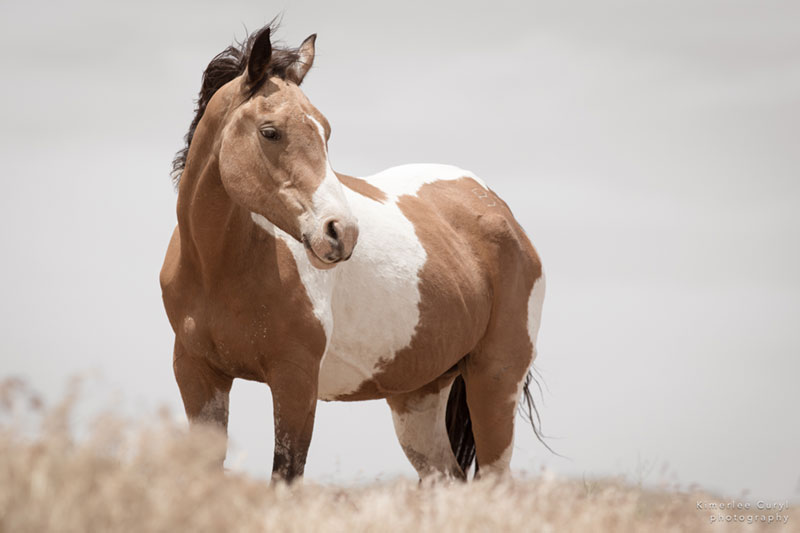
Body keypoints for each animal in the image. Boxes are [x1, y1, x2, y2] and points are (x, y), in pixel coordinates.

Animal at [160, 22, 545, 482]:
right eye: (270, 131)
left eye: (326, 132)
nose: (341, 231)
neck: (218, 267)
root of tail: (497, 209)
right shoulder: (198, 375)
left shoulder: (295, 381)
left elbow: (285, 475)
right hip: (419, 397)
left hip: (494, 381)